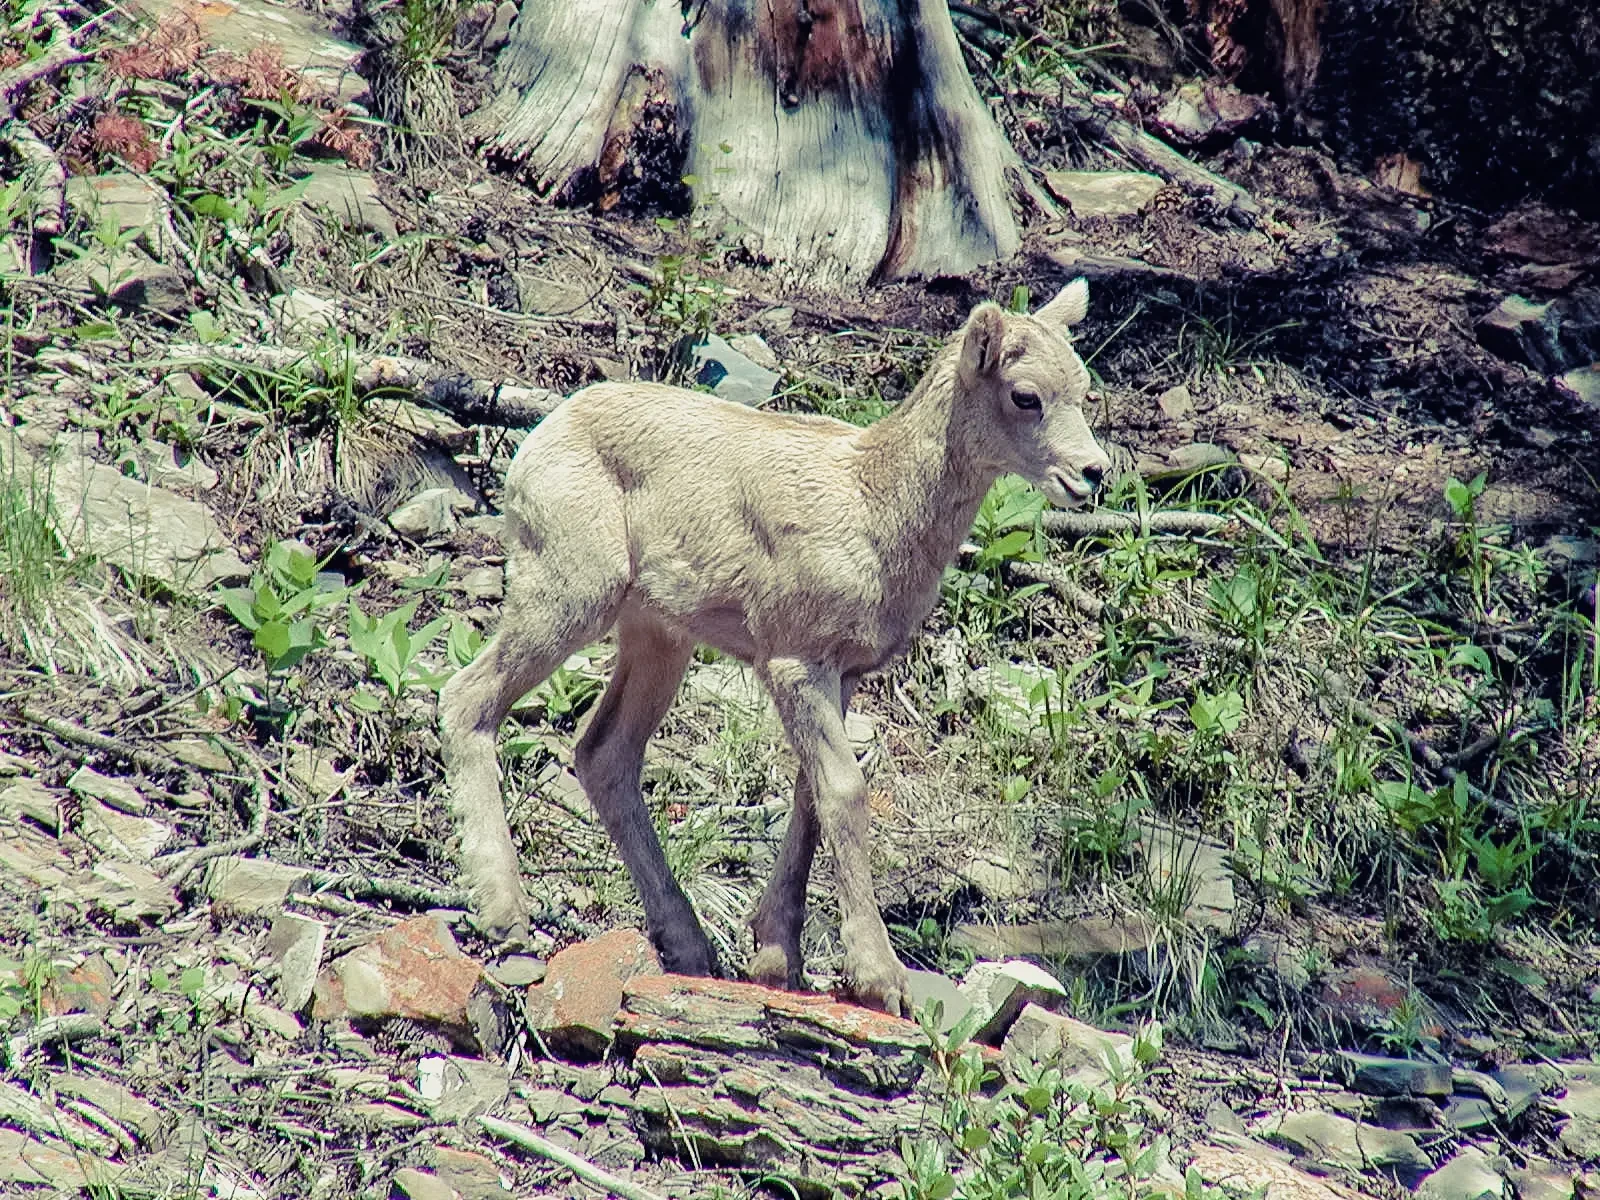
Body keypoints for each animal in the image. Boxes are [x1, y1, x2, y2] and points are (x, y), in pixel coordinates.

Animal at [438, 279, 1112, 1015]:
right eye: (1026, 395)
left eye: (1083, 388)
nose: (1093, 473)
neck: (876, 508)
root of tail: (544, 434)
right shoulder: (795, 663)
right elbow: (843, 791)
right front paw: (880, 980)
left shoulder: (843, 674)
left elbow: (809, 798)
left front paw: (775, 957)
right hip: (570, 595)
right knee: (468, 697)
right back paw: (506, 912)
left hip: (658, 636)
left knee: (604, 756)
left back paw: (690, 947)